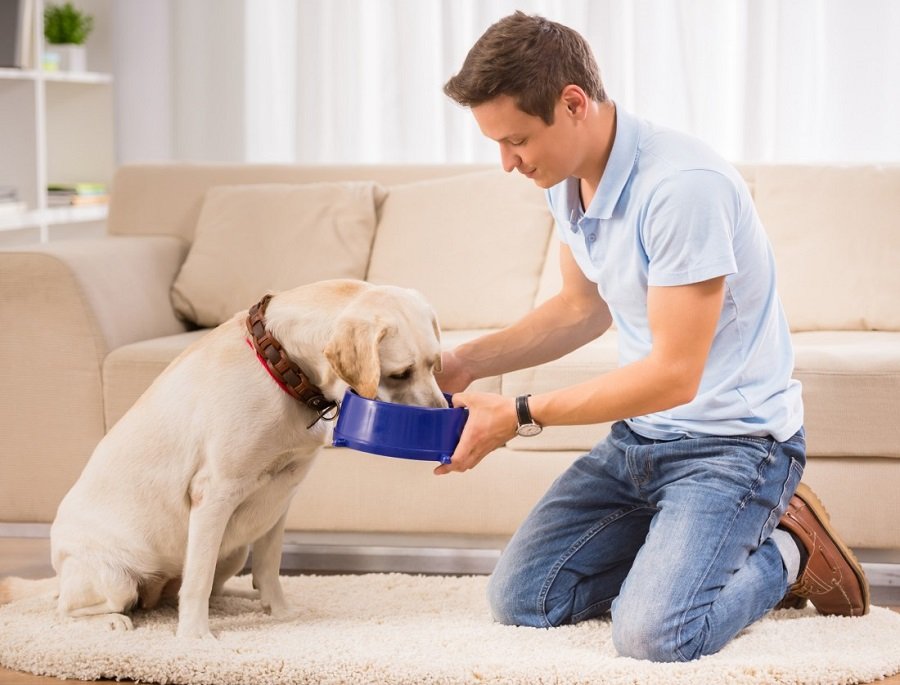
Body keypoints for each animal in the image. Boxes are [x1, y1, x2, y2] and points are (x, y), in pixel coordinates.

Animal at [39, 276, 446, 636]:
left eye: (434, 364)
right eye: (400, 374)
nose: (442, 413)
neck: (283, 365)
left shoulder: (281, 496)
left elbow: (268, 568)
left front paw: (280, 613)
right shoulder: (215, 493)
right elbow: (198, 581)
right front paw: (195, 639)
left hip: (233, 552)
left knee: (199, 591)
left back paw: (238, 598)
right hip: (116, 579)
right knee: (73, 608)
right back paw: (111, 620)